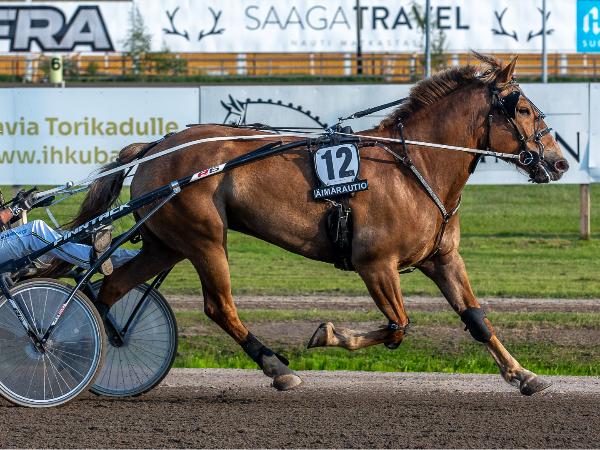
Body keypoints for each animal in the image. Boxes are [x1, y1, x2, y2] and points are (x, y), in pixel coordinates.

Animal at [71, 53, 569, 395]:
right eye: (523, 109)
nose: (559, 161)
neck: (415, 166)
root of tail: (157, 145)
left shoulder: (443, 259)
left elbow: (476, 319)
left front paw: (523, 374)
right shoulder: (376, 264)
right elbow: (397, 326)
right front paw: (329, 333)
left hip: (165, 243)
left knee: (110, 289)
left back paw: (98, 348)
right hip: (205, 239)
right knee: (219, 307)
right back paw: (277, 367)